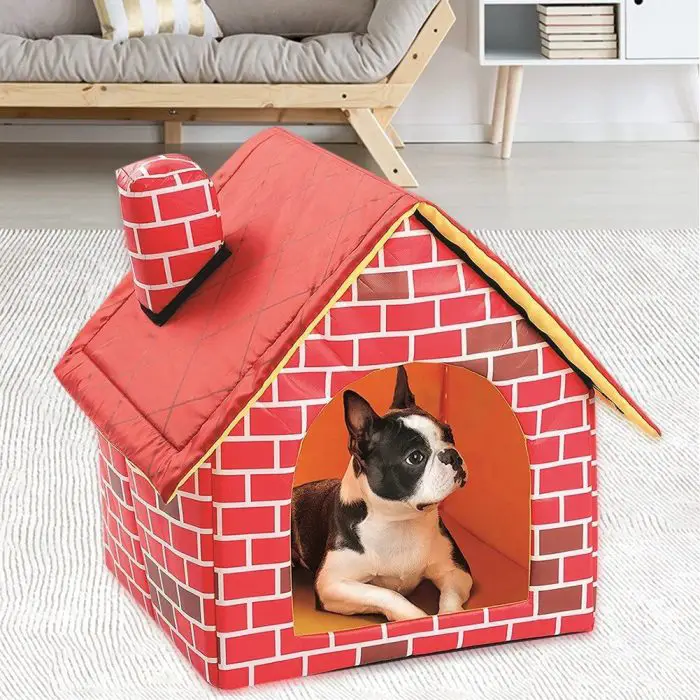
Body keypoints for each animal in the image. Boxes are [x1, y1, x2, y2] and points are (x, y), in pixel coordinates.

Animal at [288, 364, 474, 620]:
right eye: (415, 457)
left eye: (450, 434)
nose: (452, 455)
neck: (399, 520)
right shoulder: (331, 584)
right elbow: (386, 593)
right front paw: (415, 617)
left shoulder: (456, 570)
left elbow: (450, 598)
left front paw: (451, 617)